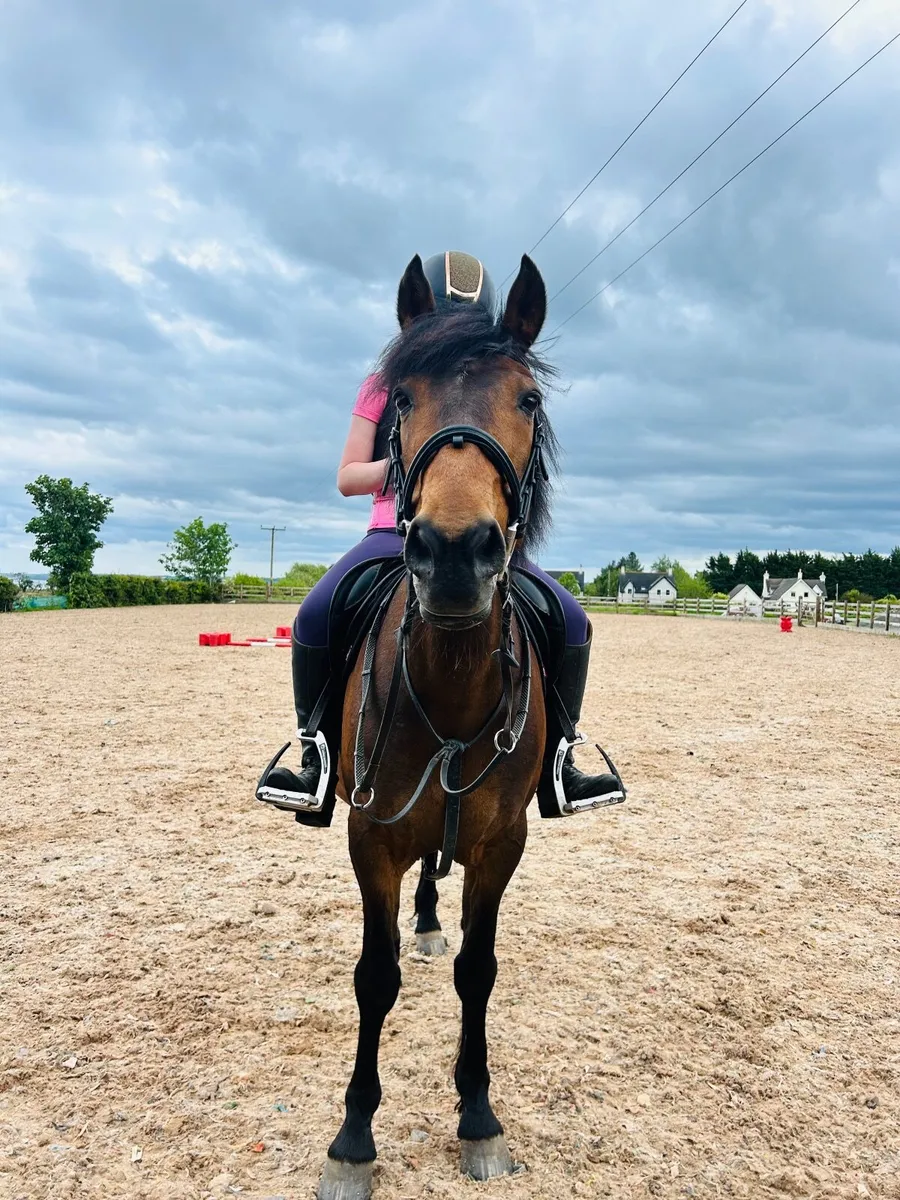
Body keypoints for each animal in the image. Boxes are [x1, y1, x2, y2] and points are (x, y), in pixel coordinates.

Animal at [318, 253, 560, 1200]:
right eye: (401, 399)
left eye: (526, 399)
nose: (455, 554)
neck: (450, 686)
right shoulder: (371, 835)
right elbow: (373, 976)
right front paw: (354, 1137)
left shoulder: (502, 843)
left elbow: (478, 971)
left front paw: (478, 1117)